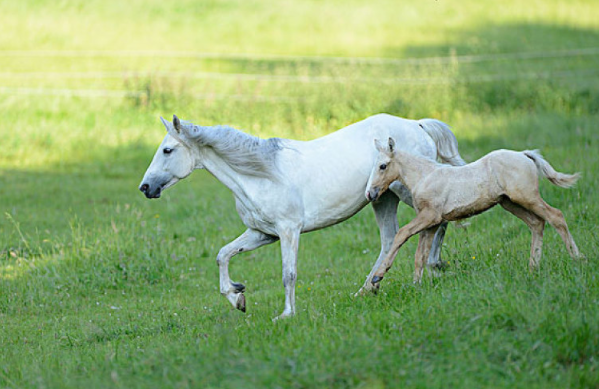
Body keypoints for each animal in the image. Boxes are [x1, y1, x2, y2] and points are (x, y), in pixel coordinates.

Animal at [138, 112, 466, 318]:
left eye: (167, 150)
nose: (145, 187)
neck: (262, 175)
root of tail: (417, 124)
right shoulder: (262, 234)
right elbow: (223, 255)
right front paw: (238, 297)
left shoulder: (288, 231)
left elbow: (288, 274)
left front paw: (286, 314)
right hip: (381, 198)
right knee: (389, 240)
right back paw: (368, 288)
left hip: (404, 190)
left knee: (439, 217)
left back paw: (433, 266)